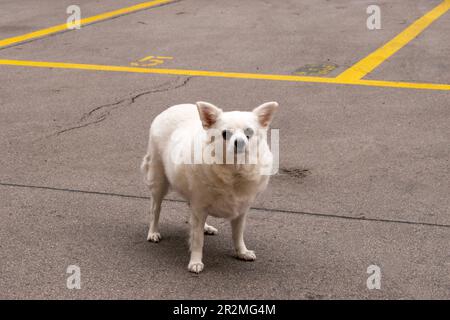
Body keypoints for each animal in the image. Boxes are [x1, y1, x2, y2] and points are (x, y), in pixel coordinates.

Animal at [142, 100, 278, 272]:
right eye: (225, 134)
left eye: (249, 133)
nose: (240, 142)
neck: (234, 171)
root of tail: (171, 108)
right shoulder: (199, 207)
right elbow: (197, 239)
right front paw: (195, 262)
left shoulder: (240, 210)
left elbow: (238, 234)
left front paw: (242, 252)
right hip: (159, 180)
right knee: (155, 208)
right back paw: (153, 232)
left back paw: (206, 227)